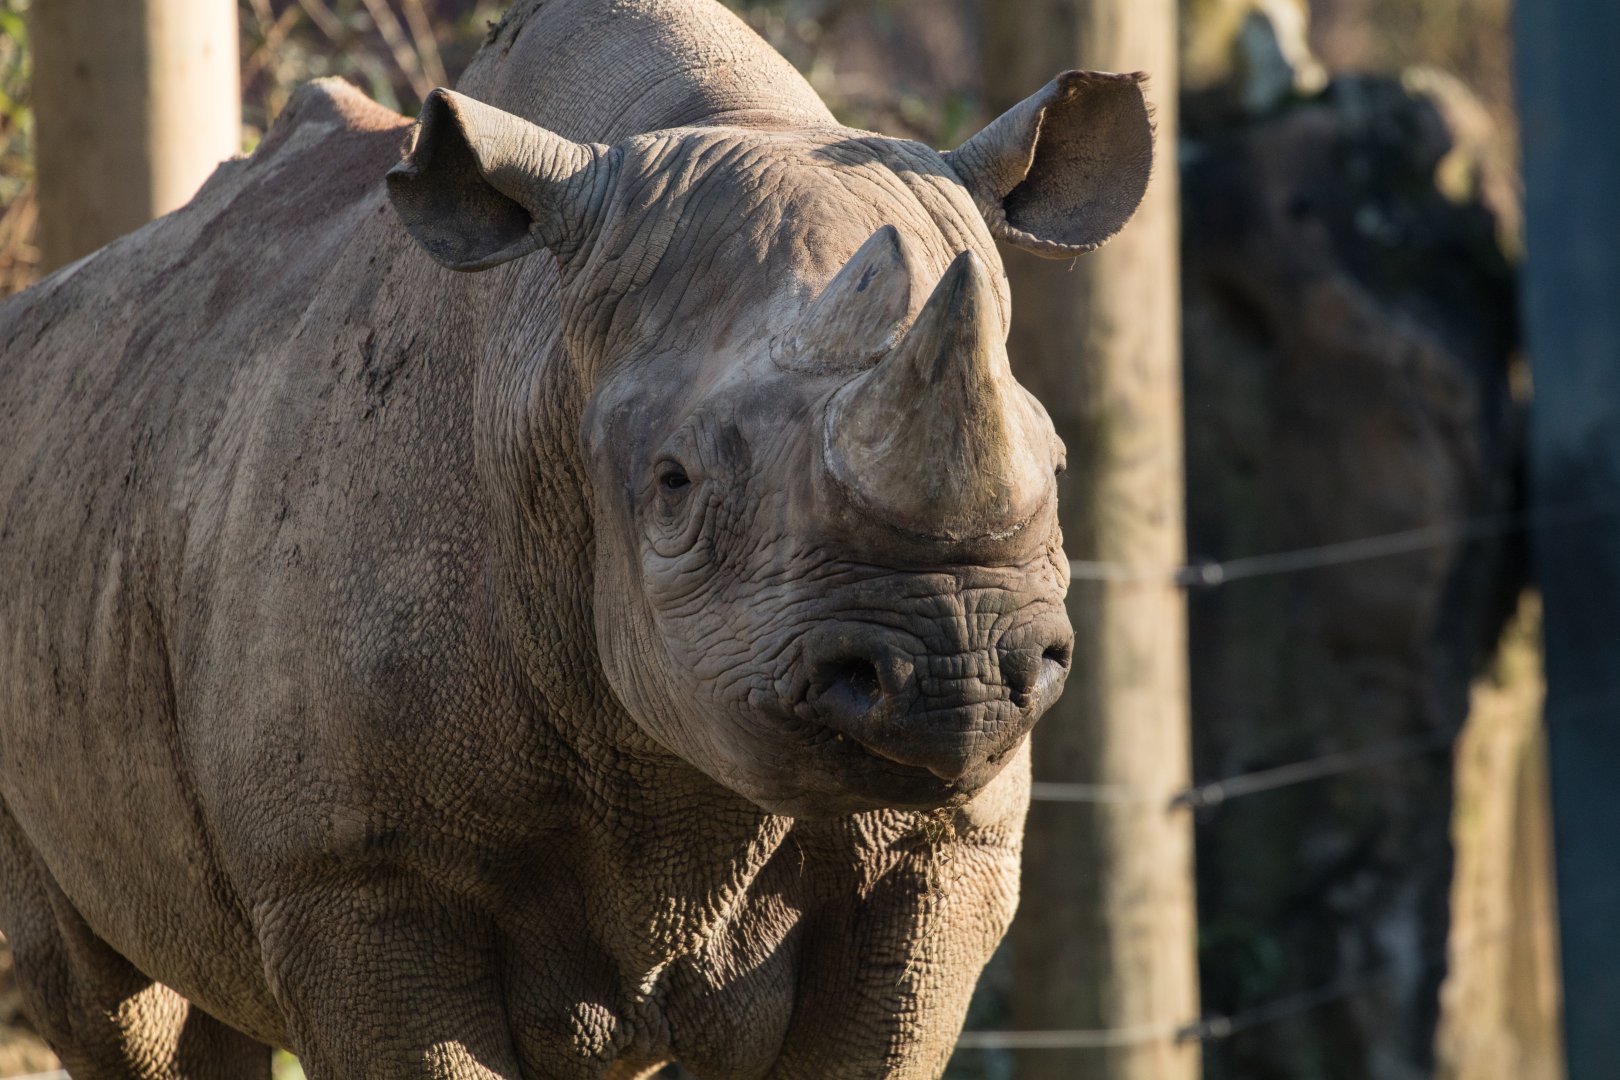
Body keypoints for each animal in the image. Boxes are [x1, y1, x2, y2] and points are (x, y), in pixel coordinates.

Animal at [0, 1, 1152, 1076]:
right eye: (674, 484)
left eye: (1054, 464)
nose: (957, 672)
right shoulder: (354, 872)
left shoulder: (937, 854)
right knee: (114, 1009)